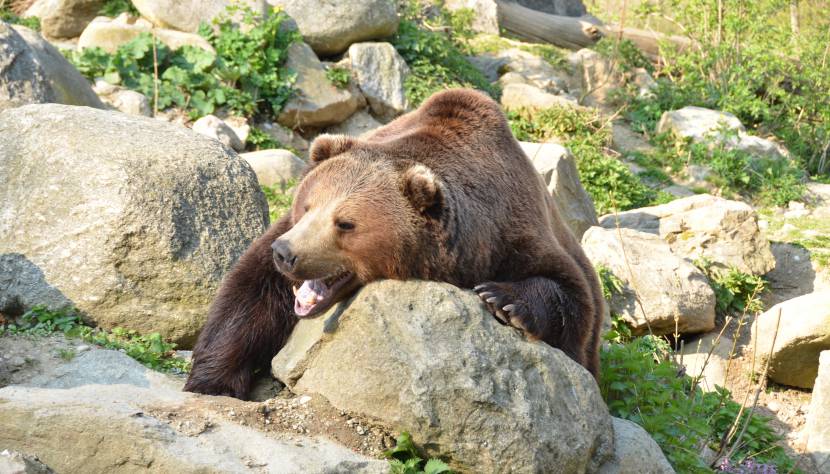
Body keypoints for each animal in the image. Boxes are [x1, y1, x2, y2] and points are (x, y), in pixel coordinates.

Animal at [185, 89, 604, 400]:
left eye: (345, 223)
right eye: (307, 204)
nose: (286, 254)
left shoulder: (513, 234)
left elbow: (571, 301)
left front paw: (503, 299)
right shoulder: (282, 236)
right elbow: (250, 295)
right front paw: (213, 381)